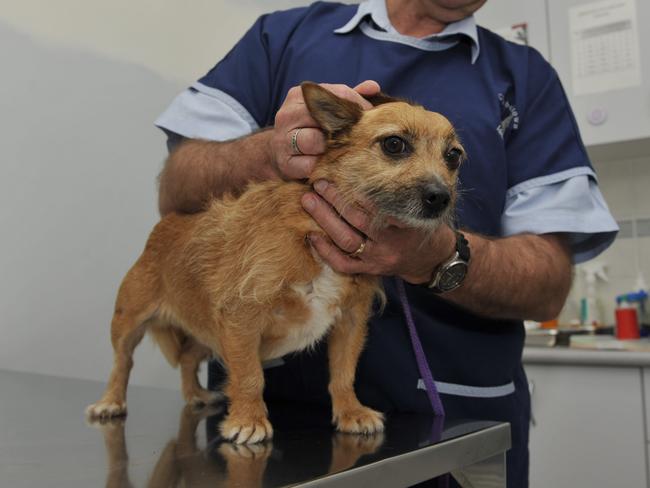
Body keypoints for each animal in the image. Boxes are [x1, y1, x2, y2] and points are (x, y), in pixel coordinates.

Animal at [86, 83, 460, 442]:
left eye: (453, 156)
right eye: (394, 144)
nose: (440, 198)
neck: (313, 230)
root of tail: (164, 226)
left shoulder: (350, 321)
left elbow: (343, 373)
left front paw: (351, 412)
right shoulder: (240, 317)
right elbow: (249, 376)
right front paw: (248, 420)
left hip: (205, 332)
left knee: (189, 359)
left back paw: (196, 395)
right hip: (129, 322)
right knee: (122, 363)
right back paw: (110, 401)